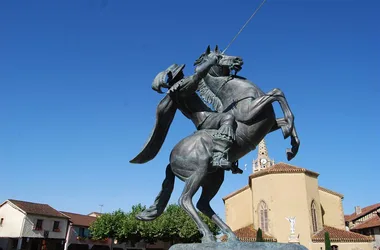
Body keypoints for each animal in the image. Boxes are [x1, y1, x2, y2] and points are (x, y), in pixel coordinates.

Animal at [132, 46, 302, 243]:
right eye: (219, 56)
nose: (238, 59)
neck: (237, 94)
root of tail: (171, 159)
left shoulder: (268, 123)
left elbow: (282, 116)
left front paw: (292, 145)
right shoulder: (249, 112)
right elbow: (276, 93)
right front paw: (289, 131)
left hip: (213, 179)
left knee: (203, 204)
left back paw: (231, 235)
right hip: (197, 173)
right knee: (185, 200)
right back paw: (208, 235)